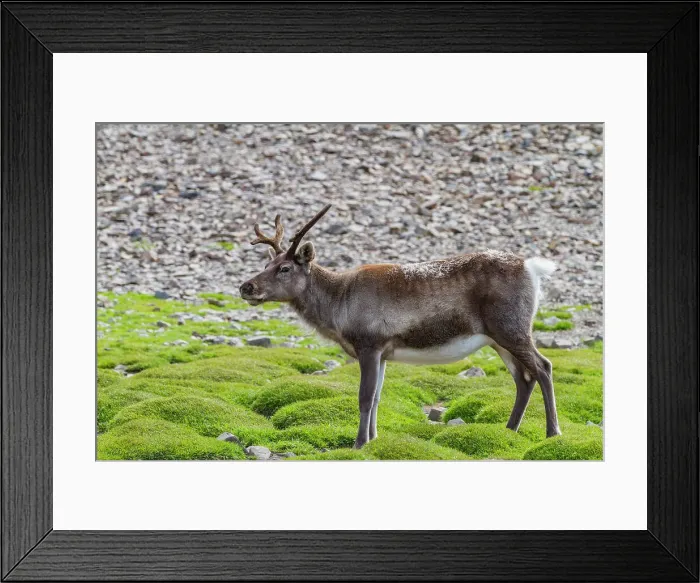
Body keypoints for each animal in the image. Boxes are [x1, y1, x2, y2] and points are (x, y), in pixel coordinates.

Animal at [239, 204, 561, 449]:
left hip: (512, 329)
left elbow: (365, 397)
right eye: (267, 264)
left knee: (543, 367)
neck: (338, 304)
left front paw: (359, 443)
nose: (246, 287)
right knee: (524, 378)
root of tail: (532, 268)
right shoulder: (383, 353)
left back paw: (552, 432)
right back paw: (509, 430)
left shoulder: (369, 345)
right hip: (498, 338)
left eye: (285, 268)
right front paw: (372, 439)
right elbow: (378, 397)